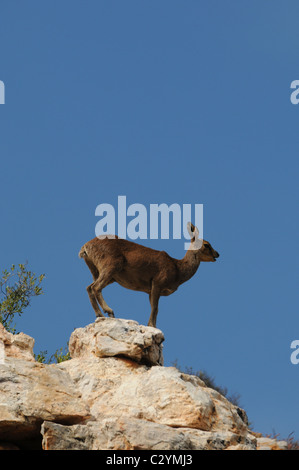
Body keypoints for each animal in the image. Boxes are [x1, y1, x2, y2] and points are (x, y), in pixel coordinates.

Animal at [79, 223, 220, 326]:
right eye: (207, 245)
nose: (217, 254)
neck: (177, 269)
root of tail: (85, 248)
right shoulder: (158, 282)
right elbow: (156, 309)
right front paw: (152, 326)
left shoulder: (149, 290)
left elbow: (153, 308)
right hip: (111, 265)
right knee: (95, 287)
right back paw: (109, 311)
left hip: (100, 272)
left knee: (89, 287)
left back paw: (100, 314)